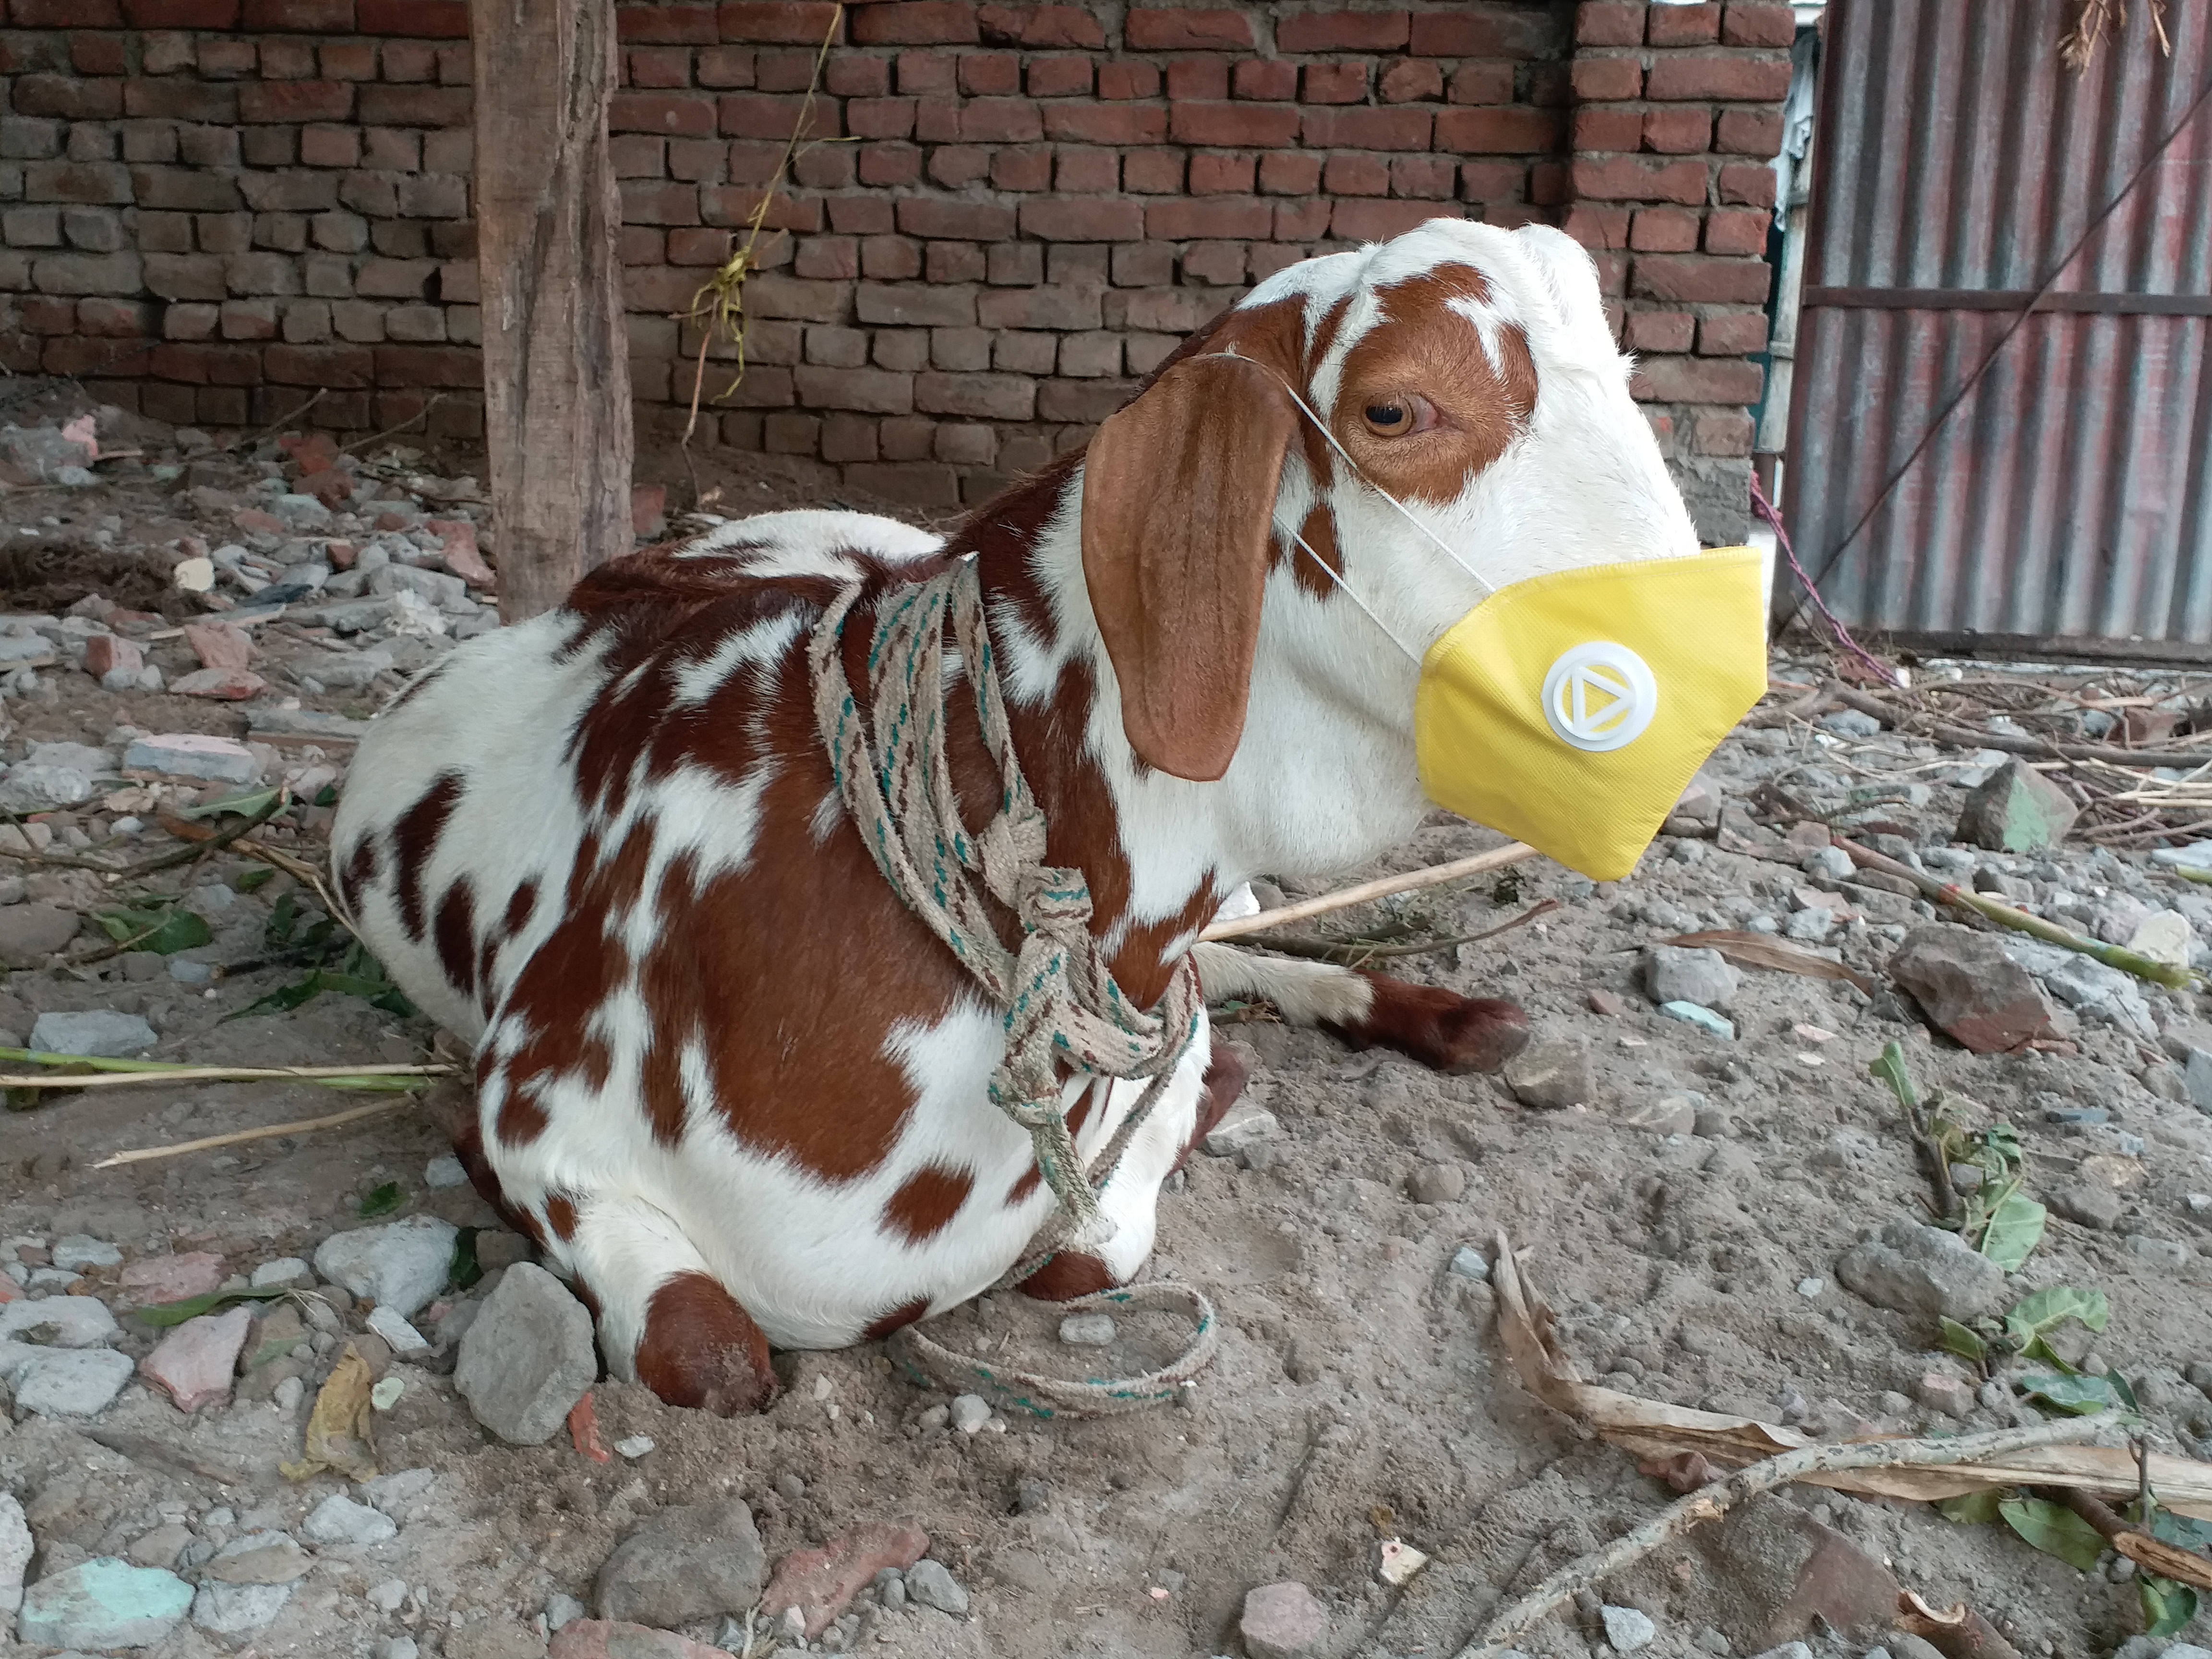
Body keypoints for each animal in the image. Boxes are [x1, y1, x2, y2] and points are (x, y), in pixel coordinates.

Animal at [336, 221, 1698, 1416]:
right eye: (1394, 411)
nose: (1697, 659)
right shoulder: (526, 1119)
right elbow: (708, 1354)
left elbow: (1100, 1229)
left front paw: (1218, 1091)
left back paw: (1453, 1018)